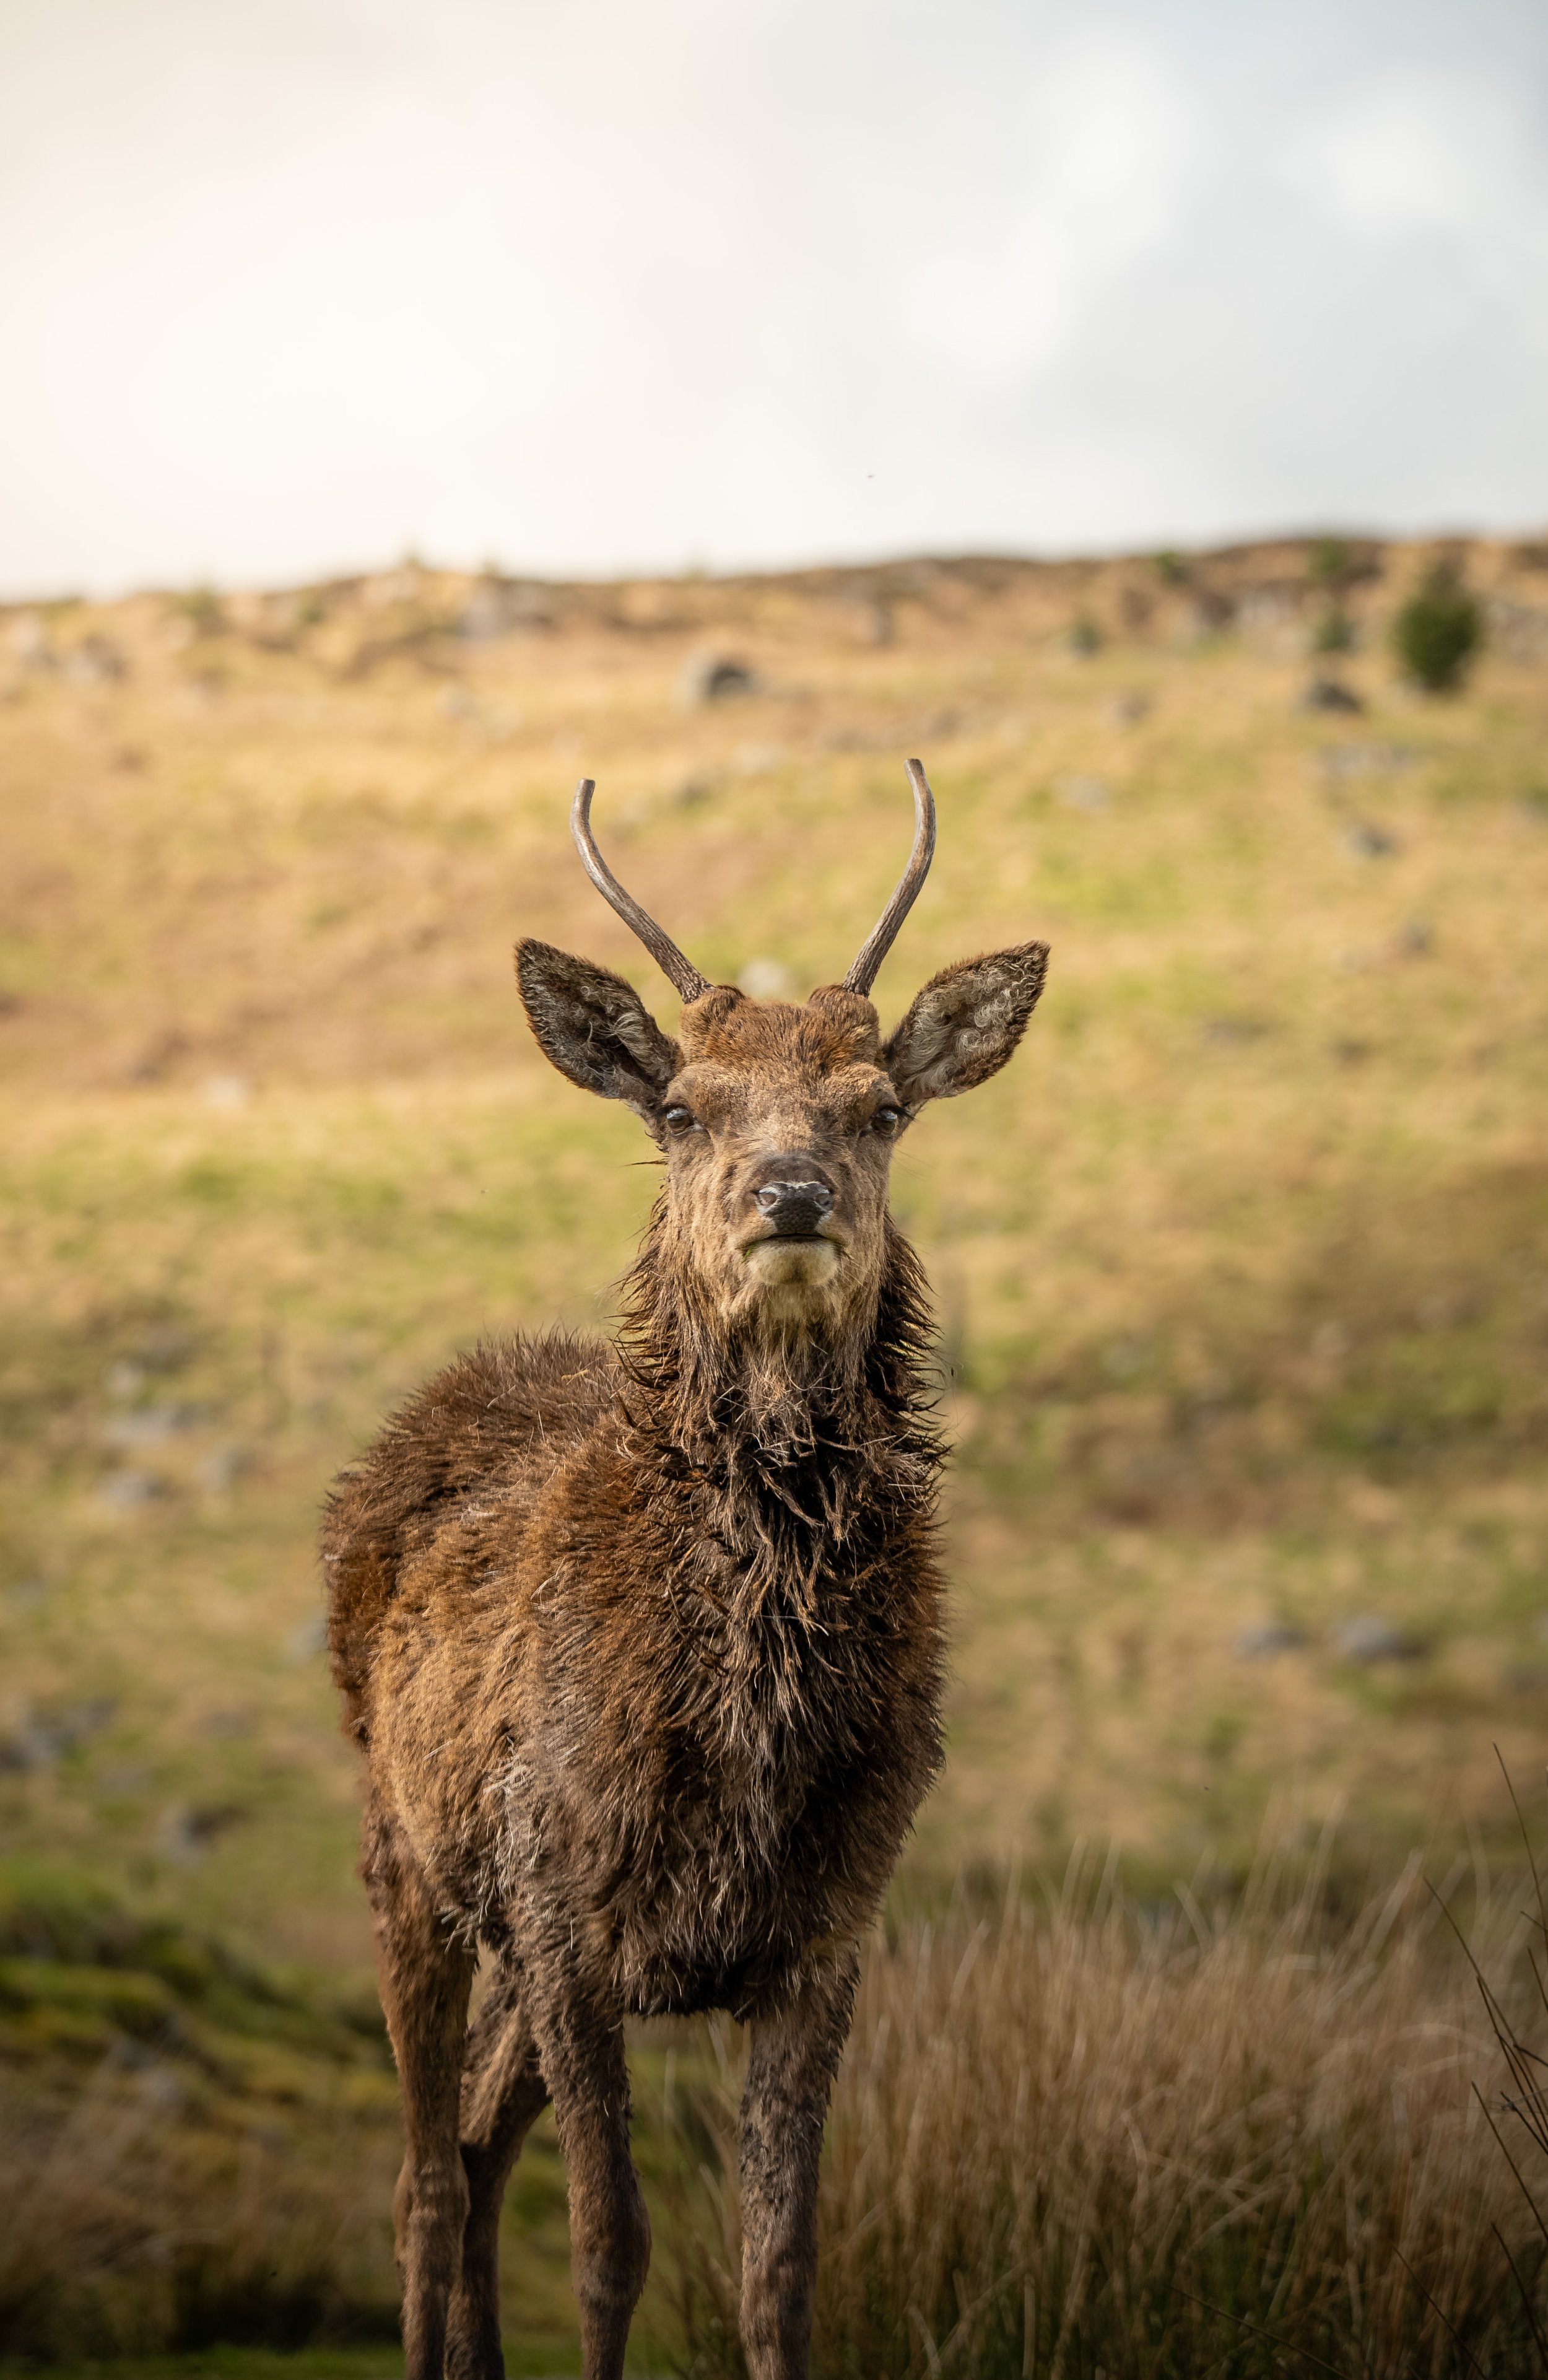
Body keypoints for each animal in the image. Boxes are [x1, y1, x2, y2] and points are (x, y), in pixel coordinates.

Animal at [322, 758, 1048, 2380]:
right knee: (419, 2177)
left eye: (880, 1106)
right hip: (408, 1852)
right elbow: (610, 2249)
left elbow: (777, 2269)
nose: (789, 1192)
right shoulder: (558, 1897)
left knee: (474, 2150)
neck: (743, 1740)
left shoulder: (828, 1926)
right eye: (678, 1104)